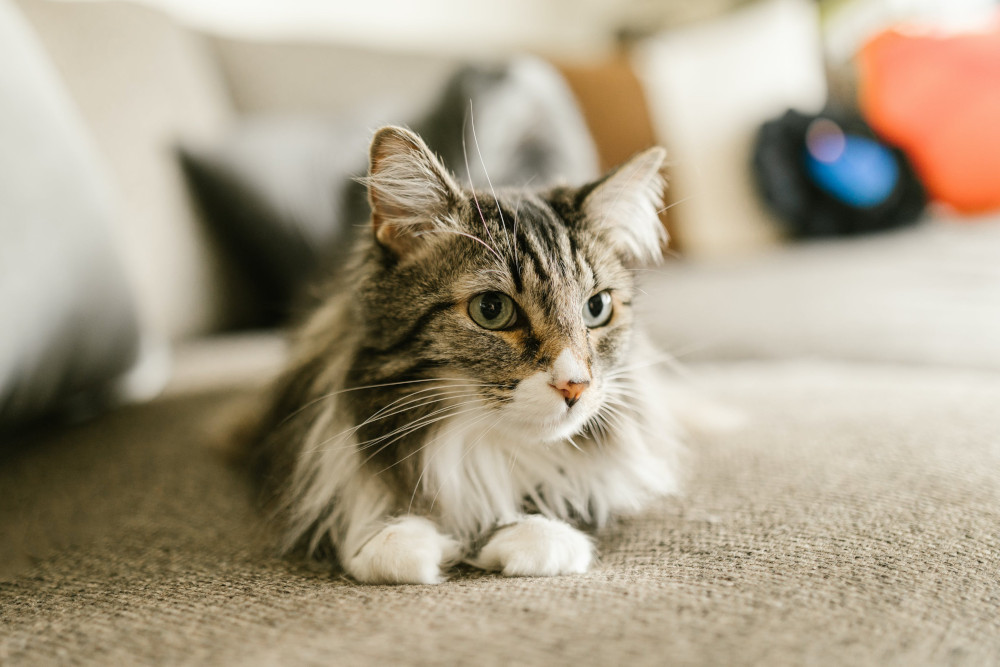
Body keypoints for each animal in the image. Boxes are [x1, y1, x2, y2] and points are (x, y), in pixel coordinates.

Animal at [250, 125, 684, 584]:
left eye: (596, 308)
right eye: (491, 309)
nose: (575, 386)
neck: (483, 447)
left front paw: (534, 534)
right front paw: (394, 539)